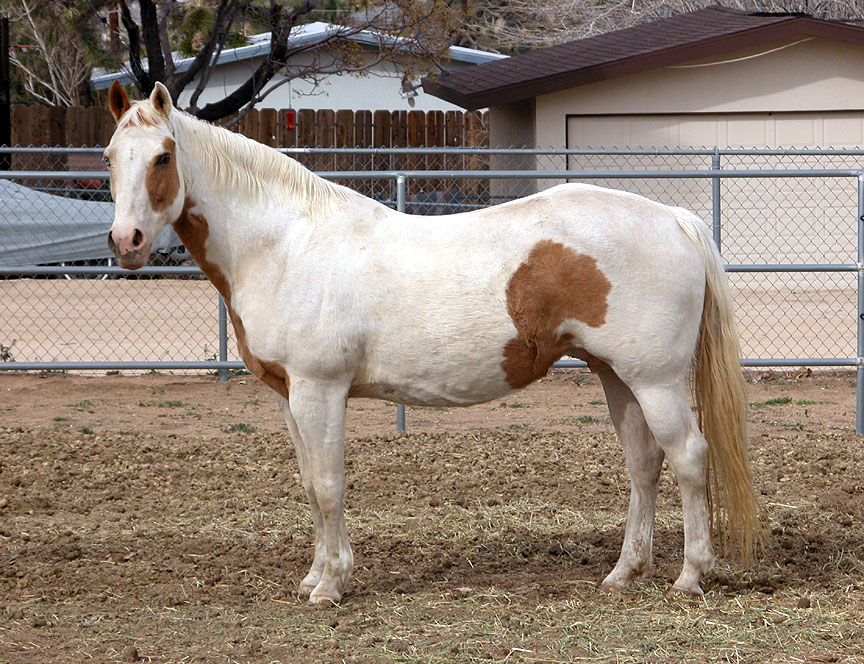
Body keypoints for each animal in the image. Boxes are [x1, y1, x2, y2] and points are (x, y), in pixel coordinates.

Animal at [104, 81, 760, 600]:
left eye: (162, 156)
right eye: (110, 156)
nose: (126, 241)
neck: (285, 244)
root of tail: (674, 219)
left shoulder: (320, 390)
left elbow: (329, 484)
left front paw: (332, 585)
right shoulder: (291, 396)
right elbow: (310, 484)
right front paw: (314, 576)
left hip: (656, 381)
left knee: (689, 457)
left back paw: (689, 576)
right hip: (616, 375)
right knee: (644, 463)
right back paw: (625, 573)